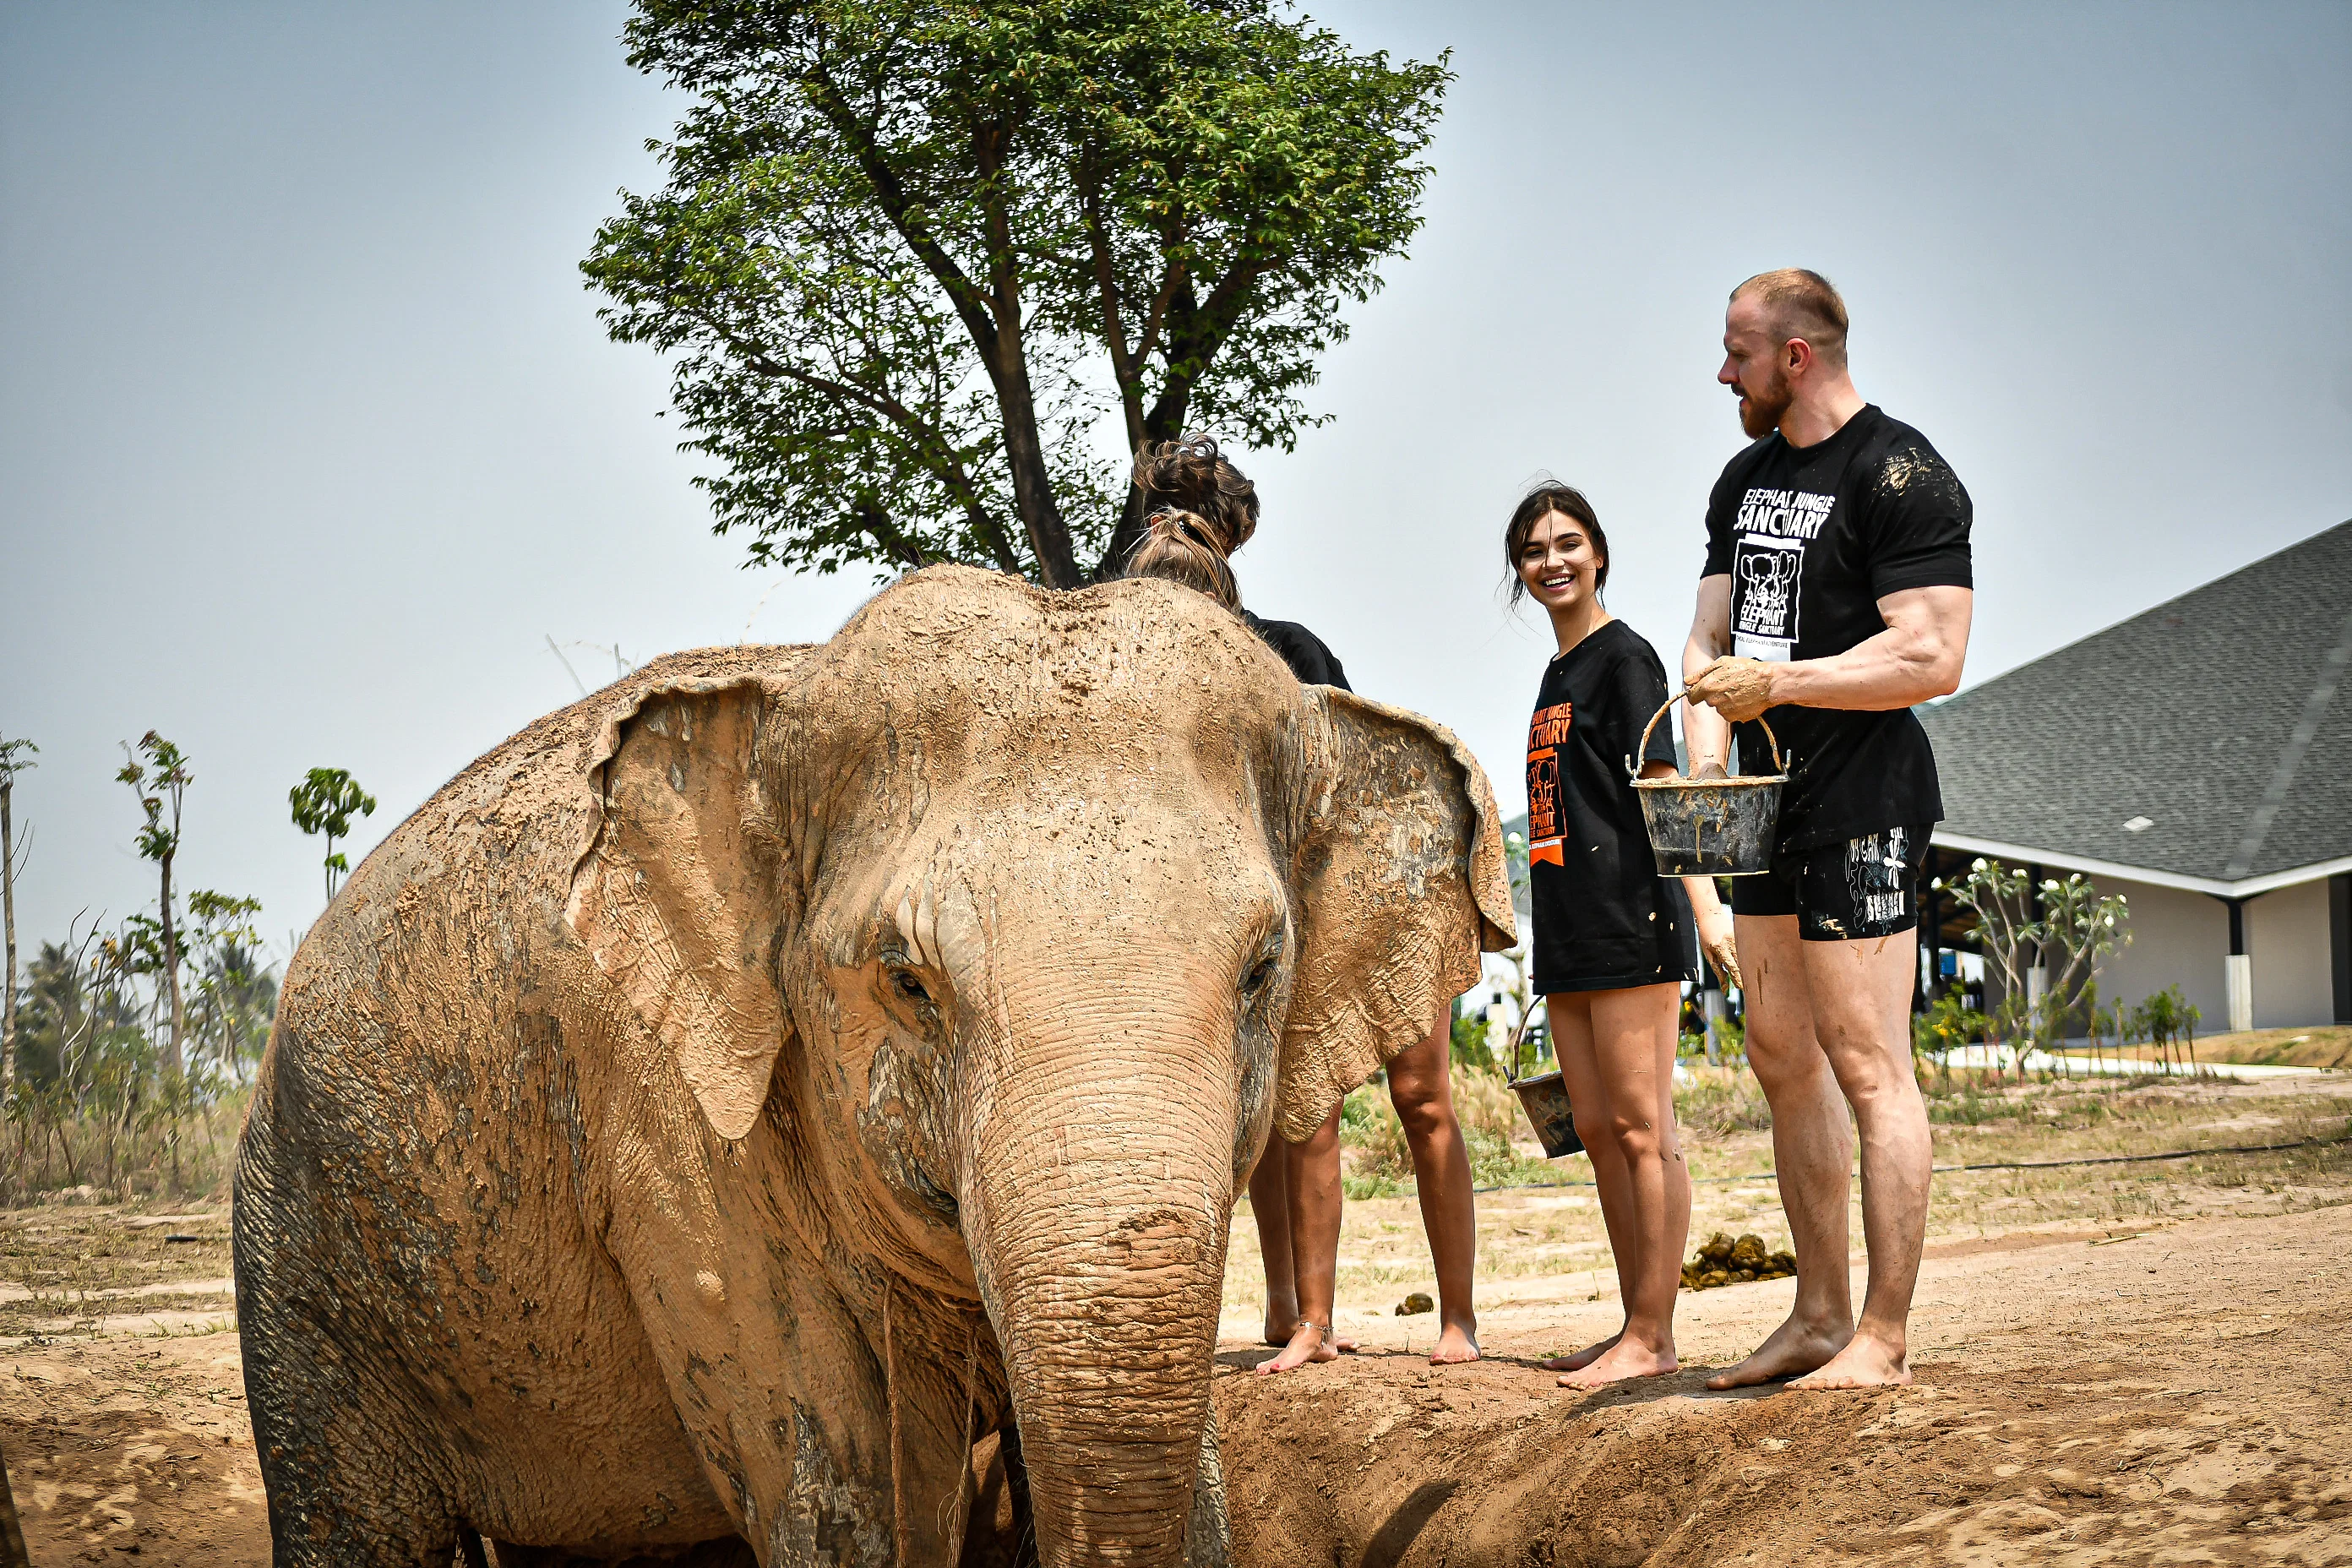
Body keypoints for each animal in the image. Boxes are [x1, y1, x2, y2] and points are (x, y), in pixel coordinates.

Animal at [234, 566, 1505, 1568]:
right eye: (908, 980)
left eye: (1260, 971)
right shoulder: (667, 1131)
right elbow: (841, 1507)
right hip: (300, 1255)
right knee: (355, 1523)